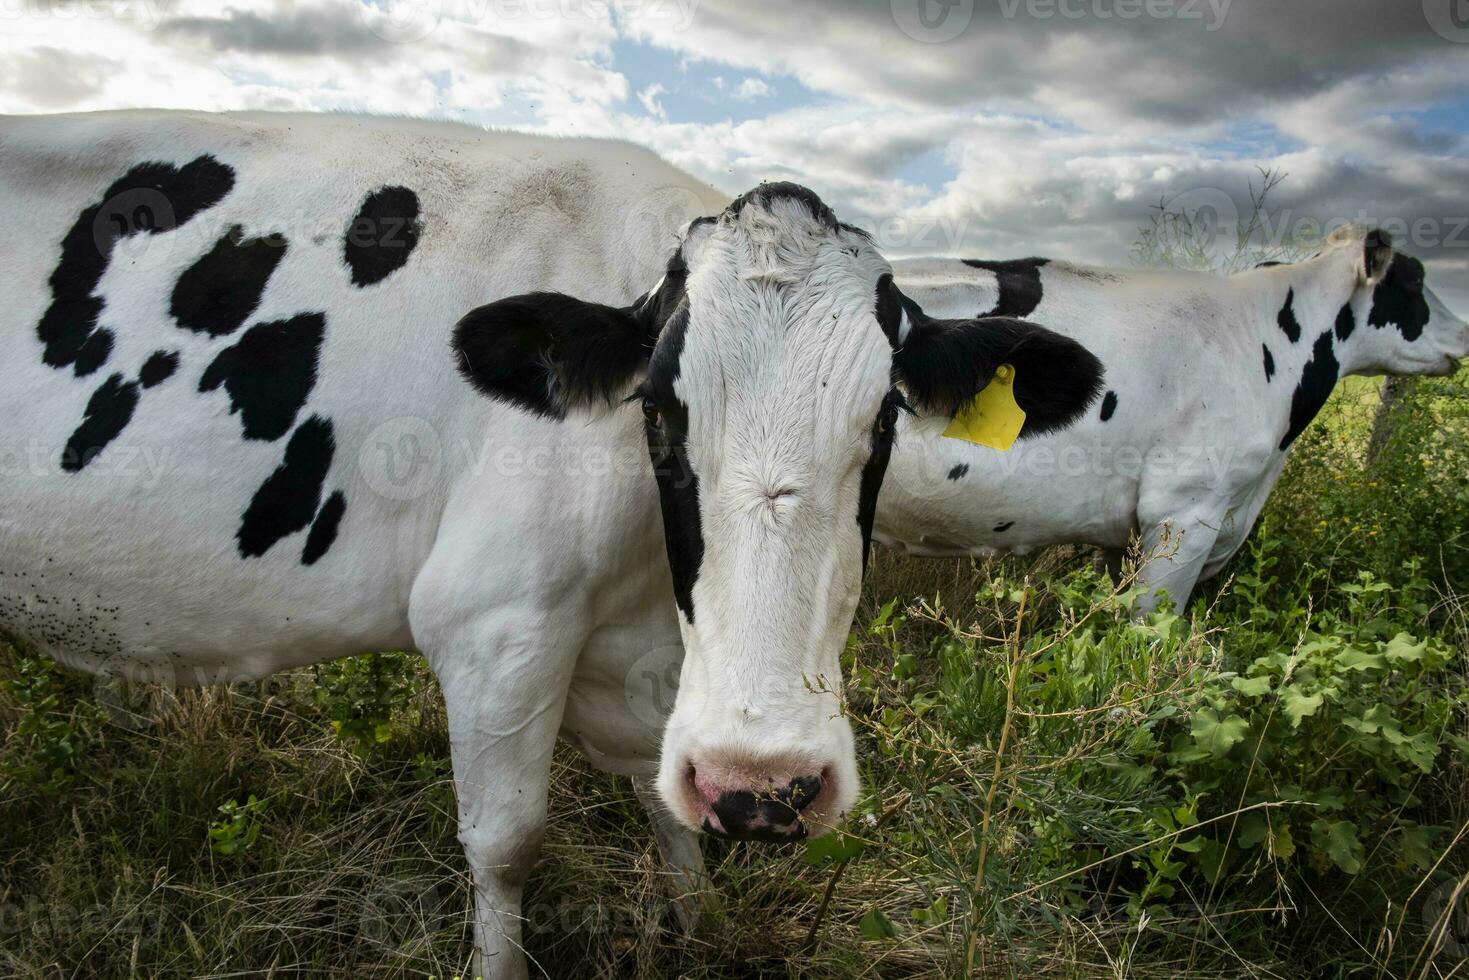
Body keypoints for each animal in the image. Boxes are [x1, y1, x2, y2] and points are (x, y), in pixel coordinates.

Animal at [0, 110, 1104, 975]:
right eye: (657, 409)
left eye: (883, 417)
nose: (762, 785)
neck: (651, 607)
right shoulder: (496, 625)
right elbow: (506, 843)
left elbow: (669, 814)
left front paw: (700, 930)